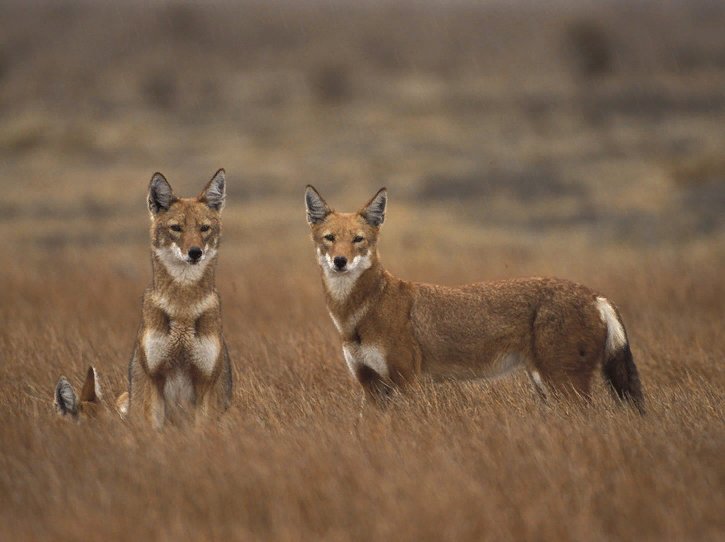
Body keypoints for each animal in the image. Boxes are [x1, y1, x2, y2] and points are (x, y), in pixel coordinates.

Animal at [117, 170, 232, 430]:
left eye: (204, 228)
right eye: (176, 228)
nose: (195, 252)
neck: (183, 310)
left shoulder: (206, 385)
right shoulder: (153, 381)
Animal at [302, 188, 640, 416]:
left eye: (358, 239)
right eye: (330, 238)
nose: (340, 262)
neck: (356, 316)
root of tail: (596, 295)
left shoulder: (407, 381)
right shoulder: (371, 386)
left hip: (561, 385)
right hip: (545, 385)